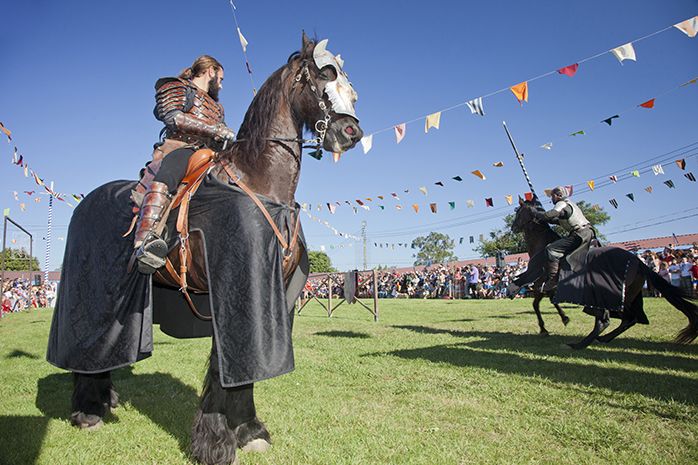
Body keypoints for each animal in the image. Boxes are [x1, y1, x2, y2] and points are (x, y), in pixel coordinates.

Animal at [47, 33, 364, 464]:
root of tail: (85, 203)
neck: (258, 182)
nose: (351, 133)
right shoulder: (234, 289)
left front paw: (249, 431)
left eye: (349, 87)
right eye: (321, 78)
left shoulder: (271, 298)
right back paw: (87, 411)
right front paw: (216, 442)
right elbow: (222, 367)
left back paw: (103, 397)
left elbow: (243, 370)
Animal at [506, 199, 696, 348]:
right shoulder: (544, 288)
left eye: (519, 213)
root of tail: (638, 263)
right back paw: (602, 338)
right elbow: (544, 303)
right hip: (629, 296)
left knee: (611, 319)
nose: (513, 227)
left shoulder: (541, 285)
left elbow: (538, 304)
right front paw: (559, 321)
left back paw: (583, 343)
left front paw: (549, 325)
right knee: (631, 318)